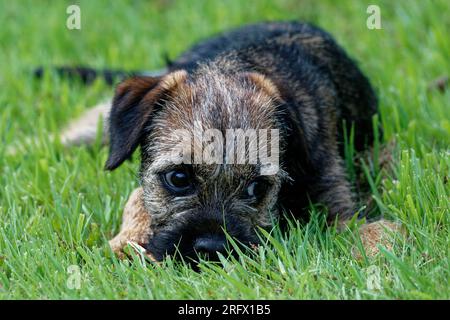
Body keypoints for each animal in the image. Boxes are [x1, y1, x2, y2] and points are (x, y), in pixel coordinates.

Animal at [53, 21, 400, 262]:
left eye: (257, 188)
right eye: (178, 178)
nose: (211, 249)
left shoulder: (336, 201)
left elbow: (364, 228)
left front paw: (377, 254)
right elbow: (137, 199)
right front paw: (124, 243)